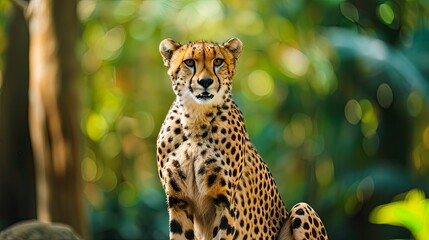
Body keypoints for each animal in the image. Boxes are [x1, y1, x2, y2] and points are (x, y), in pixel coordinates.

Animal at [157, 38, 328, 240]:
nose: (205, 82)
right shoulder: (179, 202)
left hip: (303, 208)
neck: (196, 120)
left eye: (218, 61)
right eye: (189, 62)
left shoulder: (224, 202)